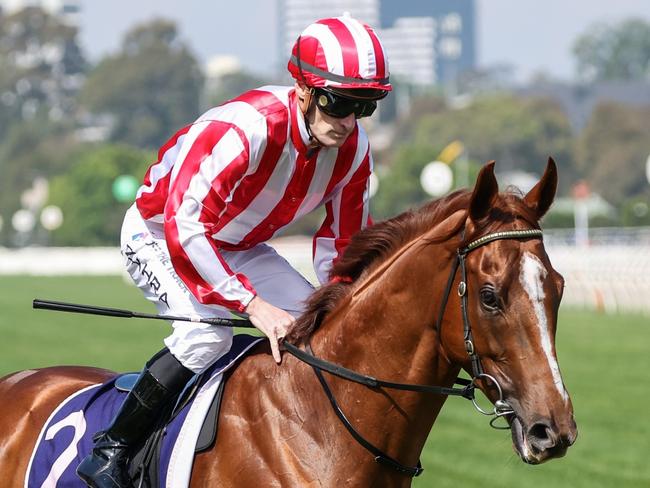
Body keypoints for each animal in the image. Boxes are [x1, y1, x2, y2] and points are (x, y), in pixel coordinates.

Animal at [1, 158, 576, 486]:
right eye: (490, 297)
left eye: (558, 287)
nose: (554, 429)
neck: (317, 430)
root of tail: (18, 379)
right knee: (199, 337)